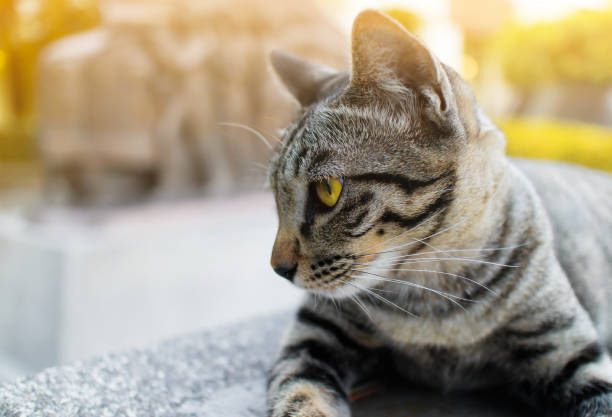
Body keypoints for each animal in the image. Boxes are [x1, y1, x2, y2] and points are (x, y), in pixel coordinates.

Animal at [266, 8, 612, 416]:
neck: (432, 298)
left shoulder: (568, 348)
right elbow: (298, 396)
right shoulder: (313, 337)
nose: (278, 268)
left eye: (328, 190)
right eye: (276, 195)